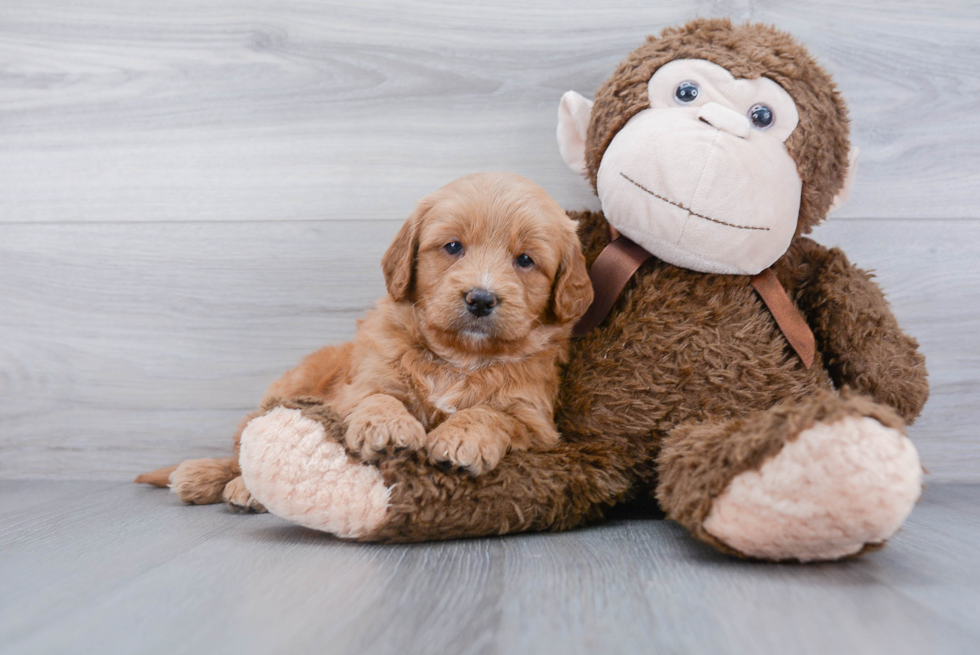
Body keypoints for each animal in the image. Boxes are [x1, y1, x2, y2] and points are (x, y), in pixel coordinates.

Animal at [136, 176, 588, 512]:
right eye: (453, 247)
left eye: (525, 260)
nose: (480, 298)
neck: (458, 358)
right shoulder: (360, 385)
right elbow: (377, 397)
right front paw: (386, 427)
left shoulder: (535, 421)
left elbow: (492, 414)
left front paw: (463, 438)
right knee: (245, 447)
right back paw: (214, 479)